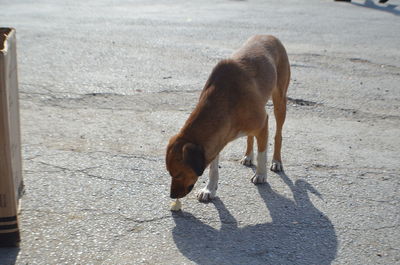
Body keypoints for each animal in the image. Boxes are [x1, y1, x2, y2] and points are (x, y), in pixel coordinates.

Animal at [166, 34, 290, 200]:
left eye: (178, 174)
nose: (172, 196)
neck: (226, 100)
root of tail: (270, 36)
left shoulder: (263, 123)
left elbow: (262, 154)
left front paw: (261, 175)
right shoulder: (217, 140)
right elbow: (213, 168)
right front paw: (209, 189)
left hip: (280, 101)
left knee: (278, 135)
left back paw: (276, 161)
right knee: (250, 136)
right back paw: (248, 156)